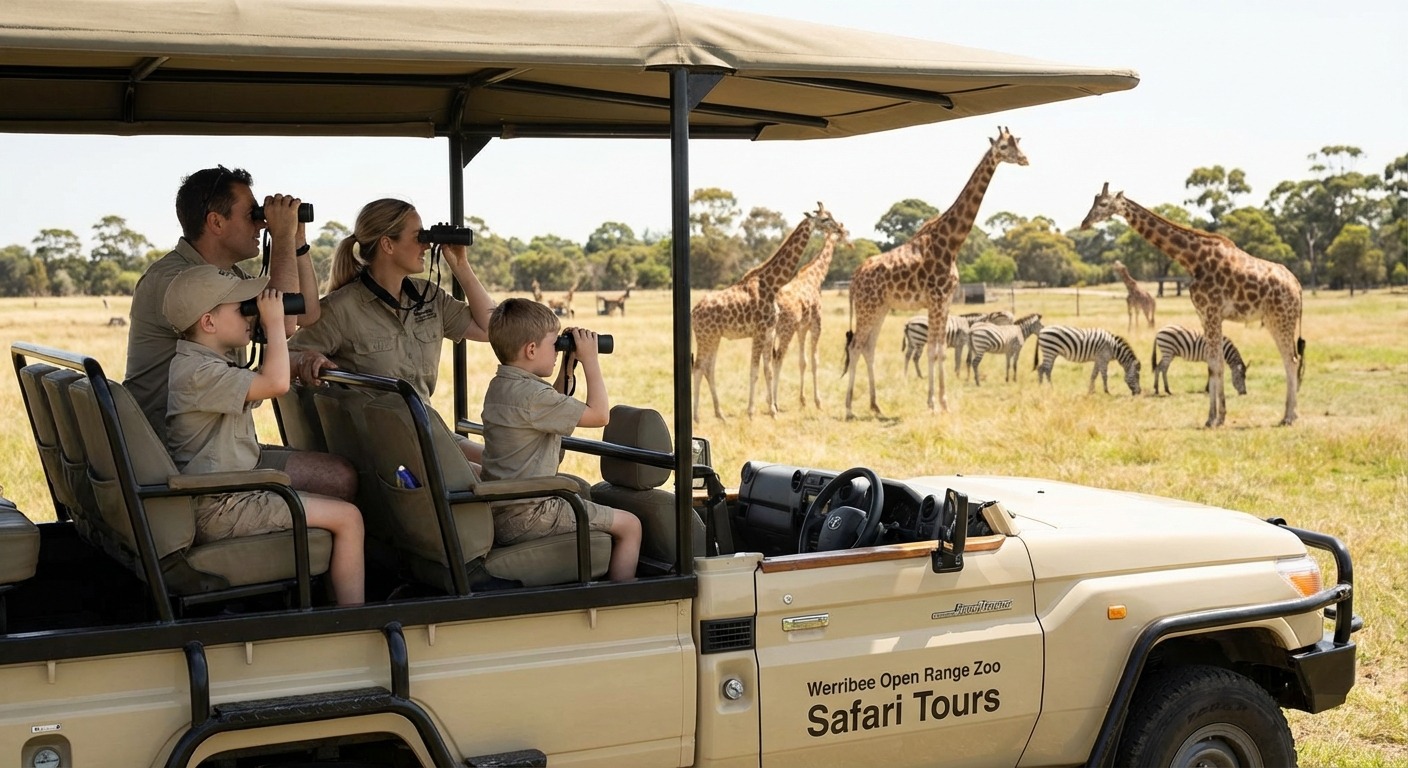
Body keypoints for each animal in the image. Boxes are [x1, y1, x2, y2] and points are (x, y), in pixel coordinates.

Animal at [693, 203, 835, 421]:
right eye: (825, 219)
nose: (836, 227)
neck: (771, 284)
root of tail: (693, 313)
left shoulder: (769, 332)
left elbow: (768, 370)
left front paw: (773, 411)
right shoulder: (759, 332)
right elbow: (754, 371)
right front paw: (751, 413)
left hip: (714, 337)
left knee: (708, 368)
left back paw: (720, 414)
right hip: (705, 336)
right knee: (699, 367)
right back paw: (697, 417)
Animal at [771, 218, 847, 409]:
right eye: (842, 231)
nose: (848, 241)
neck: (815, 277)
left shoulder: (802, 328)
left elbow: (802, 362)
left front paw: (803, 400)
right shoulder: (816, 324)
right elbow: (814, 361)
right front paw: (818, 401)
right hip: (786, 330)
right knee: (778, 359)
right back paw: (774, 402)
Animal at [842, 127, 1028, 419]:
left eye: (1018, 143)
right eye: (1003, 147)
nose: (1024, 159)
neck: (951, 242)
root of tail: (853, 280)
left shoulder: (946, 299)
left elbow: (940, 350)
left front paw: (943, 403)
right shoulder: (936, 299)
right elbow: (932, 350)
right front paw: (933, 403)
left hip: (880, 308)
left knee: (868, 347)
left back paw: (876, 405)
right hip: (867, 307)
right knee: (855, 346)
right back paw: (850, 409)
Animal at [1082, 183, 1305, 426]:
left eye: (1103, 203)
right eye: (1093, 201)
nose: (1084, 223)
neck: (1192, 260)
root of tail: (1298, 287)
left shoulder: (1212, 312)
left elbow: (1216, 364)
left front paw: (1216, 418)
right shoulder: (1204, 314)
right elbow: (1212, 364)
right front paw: (1214, 418)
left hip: (1283, 318)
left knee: (1292, 360)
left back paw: (1290, 417)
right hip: (1273, 320)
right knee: (1289, 360)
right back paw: (1287, 415)